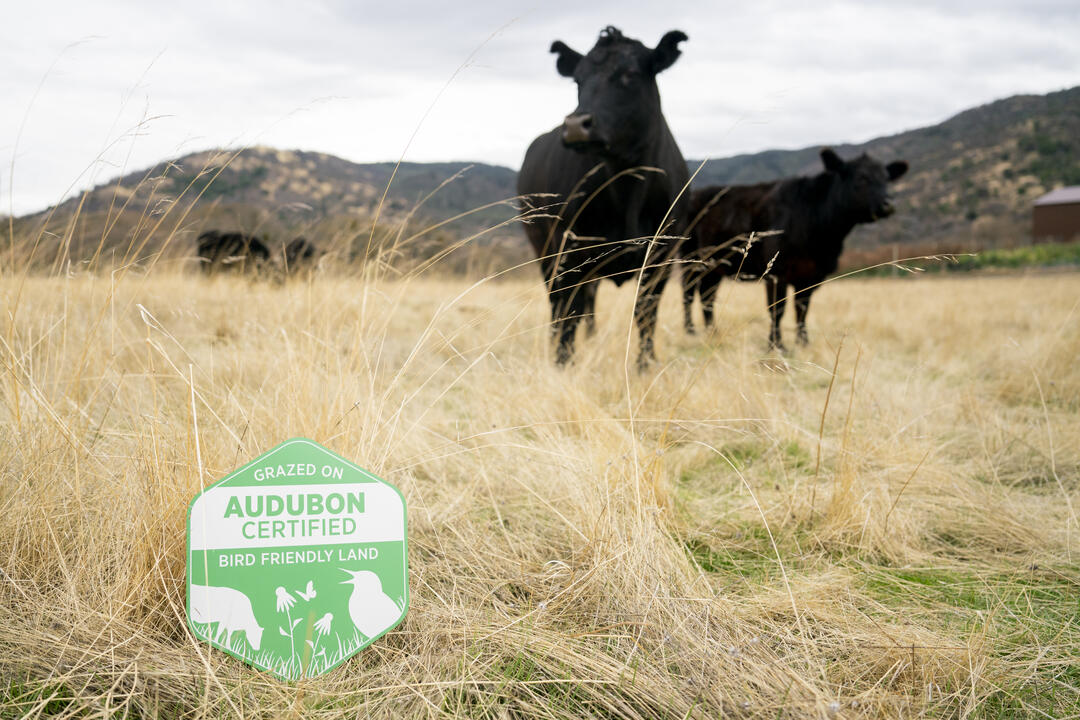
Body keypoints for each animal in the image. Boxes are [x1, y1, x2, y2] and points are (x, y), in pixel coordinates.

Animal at [678, 148, 907, 349]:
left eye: (887, 179)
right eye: (862, 178)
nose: (888, 204)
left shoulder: (812, 275)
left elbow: (802, 309)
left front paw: (803, 343)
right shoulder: (776, 272)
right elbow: (777, 309)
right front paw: (776, 346)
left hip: (714, 266)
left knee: (707, 296)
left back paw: (712, 332)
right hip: (690, 260)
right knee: (689, 293)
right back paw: (690, 330)